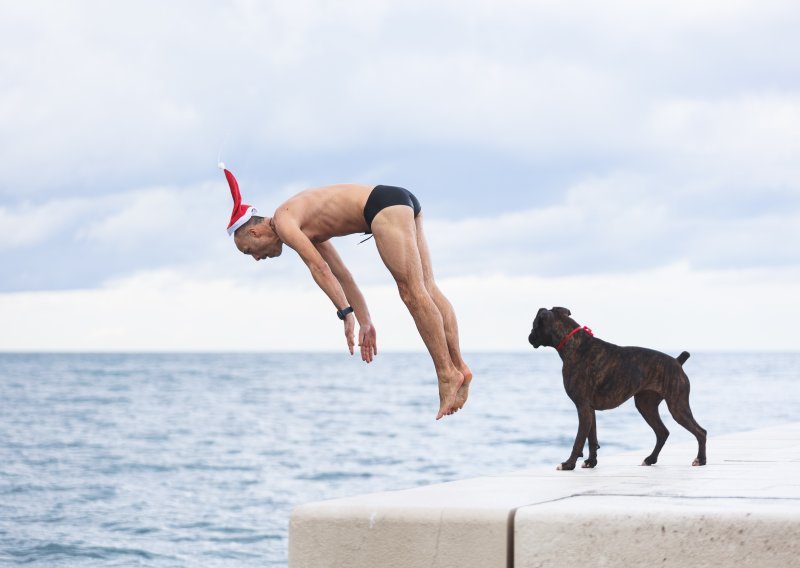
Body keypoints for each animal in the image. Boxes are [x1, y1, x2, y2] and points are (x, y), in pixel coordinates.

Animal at [532, 306, 708, 470]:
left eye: (534, 325)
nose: (530, 337)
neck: (574, 344)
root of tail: (677, 362)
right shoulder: (589, 410)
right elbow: (592, 438)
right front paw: (591, 462)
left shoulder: (582, 407)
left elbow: (579, 440)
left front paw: (568, 464)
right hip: (646, 406)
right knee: (662, 432)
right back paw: (650, 459)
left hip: (677, 407)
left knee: (700, 432)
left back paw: (700, 460)